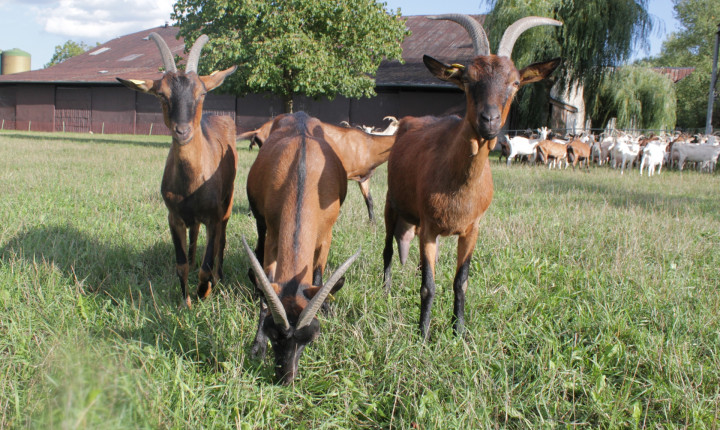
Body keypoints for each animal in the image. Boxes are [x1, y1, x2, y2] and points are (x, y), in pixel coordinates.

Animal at [246, 112, 360, 384]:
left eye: (310, 337)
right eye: (273, 334)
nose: (285, 378)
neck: (301, 173)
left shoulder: (326, 233)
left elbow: (318, 274)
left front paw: (326, 305)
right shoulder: (273, 233)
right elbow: (267, 283)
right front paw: (257, 346)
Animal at [382, 13, 564, 340]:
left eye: (515, 82)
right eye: (468, 80)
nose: (489, 120)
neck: (457, 184)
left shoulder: (471, 230)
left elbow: (460, 281)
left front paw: (459, 331)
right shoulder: (429, 229)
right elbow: (428, 286)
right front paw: (423, 336)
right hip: (392, 204)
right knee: (388, 250)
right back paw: (385, 292)